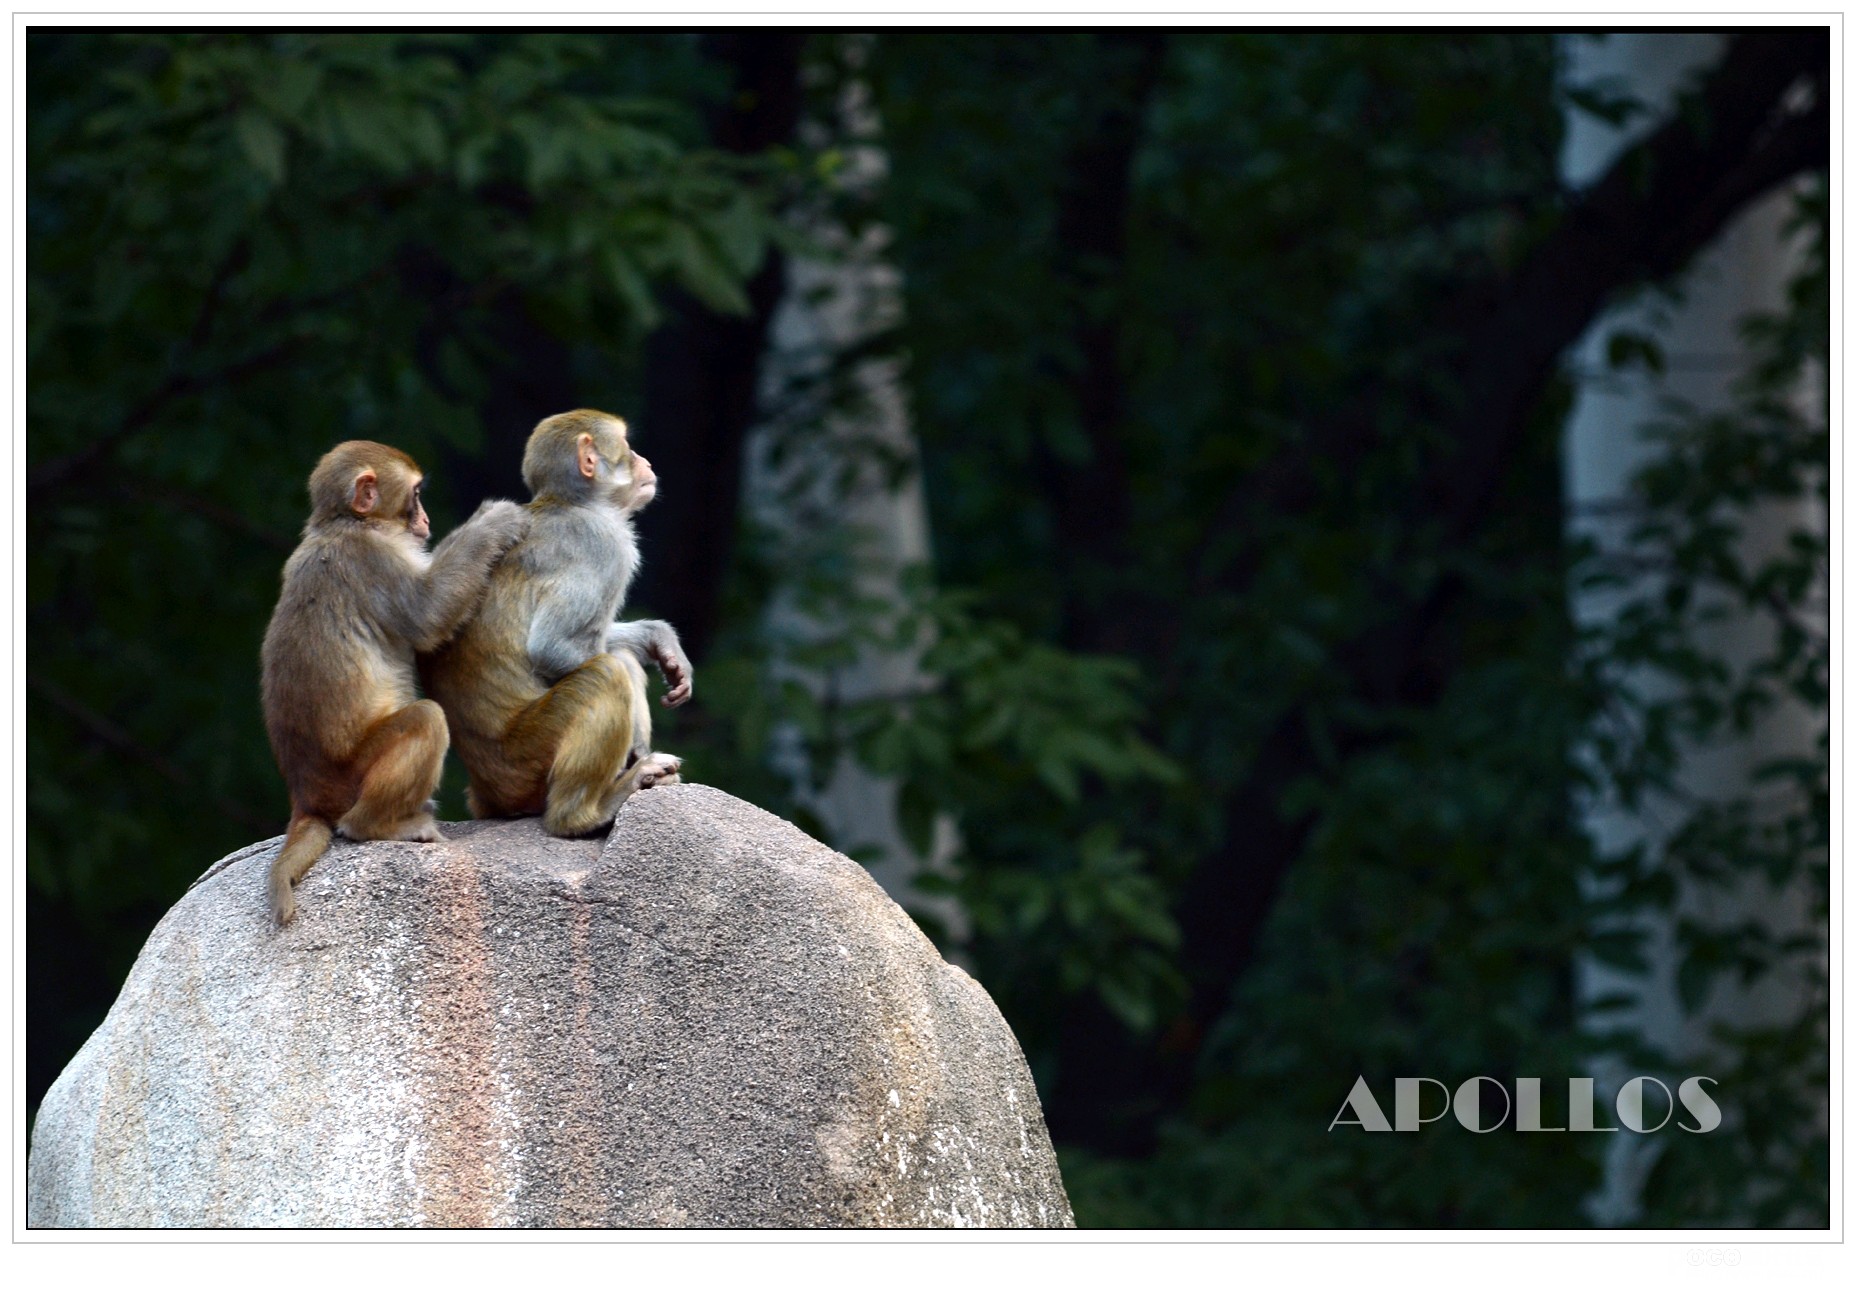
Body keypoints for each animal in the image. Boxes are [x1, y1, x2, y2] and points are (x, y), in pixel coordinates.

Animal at [259, 443, 530, 924]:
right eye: (417, 495)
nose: (425, 520)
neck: (346, 523)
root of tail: (306, 795)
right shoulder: (376, 557)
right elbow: (428, 613)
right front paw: (495, 522)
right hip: (350, 778)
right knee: (425, 720)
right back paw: (376, 825)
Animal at [421, 406, 697, 839]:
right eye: (627, 447)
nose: (647, 463)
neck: (571, 503)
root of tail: (488, 793)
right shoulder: (603, 543)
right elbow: (553, 649)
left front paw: (660, 641)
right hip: (526, 760)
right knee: (608, 671)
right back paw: (585, 812)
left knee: (617, 660)